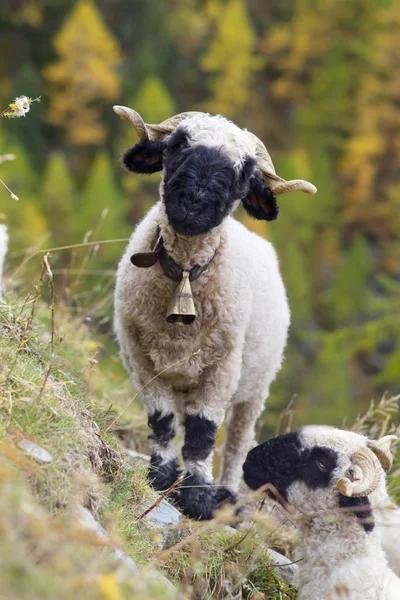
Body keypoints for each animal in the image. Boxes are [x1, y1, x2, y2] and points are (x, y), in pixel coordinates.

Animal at [111, 106, 316, 520]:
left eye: (244, 172)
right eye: (177, 144)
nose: (194, 201)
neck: (186, 275)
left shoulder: (222, 370)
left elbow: (202, 433)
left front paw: (198, 498)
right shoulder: (141, 358)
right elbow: (161, 421)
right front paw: (160, 478)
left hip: (255, 388)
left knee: (236, 443)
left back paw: (228, 493)